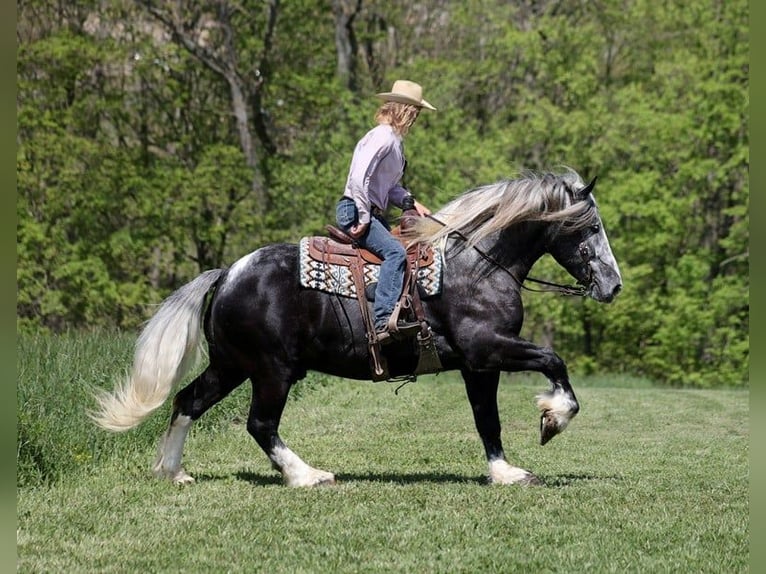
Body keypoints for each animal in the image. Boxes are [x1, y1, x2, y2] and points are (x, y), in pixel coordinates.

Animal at [91, 169, 622, 487]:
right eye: (592, 227)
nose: (613, 285)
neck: (476, 267)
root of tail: (227, 273)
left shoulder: (478, 365)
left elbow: (486, 419)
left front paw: (504, 471)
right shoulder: (488, 348)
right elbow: (554, 362)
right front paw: (552, 419)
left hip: (231, 365)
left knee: (187, 402)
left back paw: (173, 472)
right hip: (271, 371)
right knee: (260, 423)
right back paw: (307, 475)